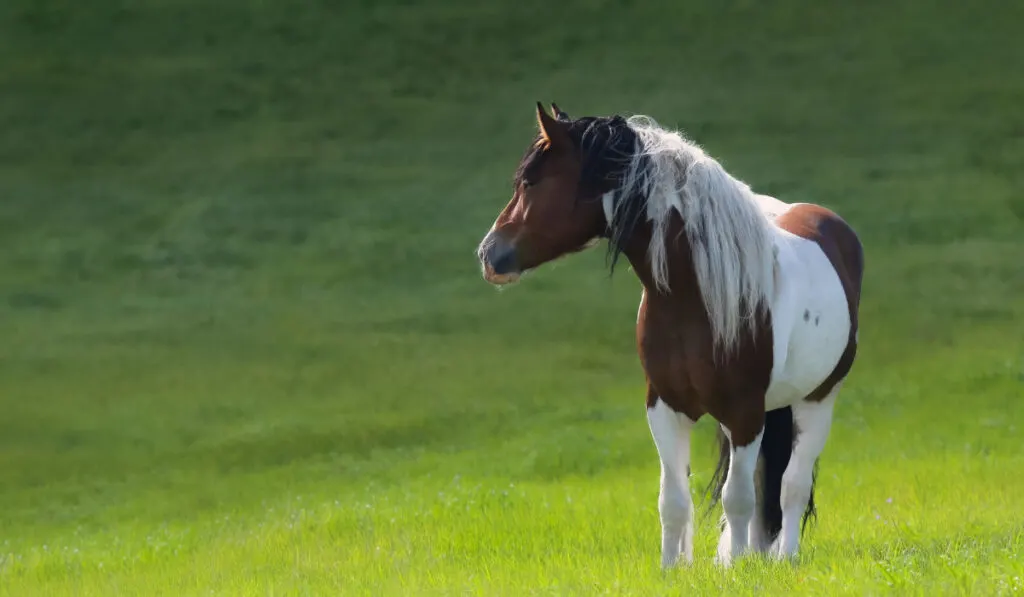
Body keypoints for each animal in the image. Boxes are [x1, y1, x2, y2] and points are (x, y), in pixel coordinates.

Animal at [475, 103, 860, 569]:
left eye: (530, 182)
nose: (488, 253)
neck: (692, 294)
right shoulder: (665, 406)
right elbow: (673, 499)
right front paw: (674, 569)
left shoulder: (744, 414)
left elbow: (738, 498)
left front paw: (736, 570)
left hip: (817, 400)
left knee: (792, 485)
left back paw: (783, 558)